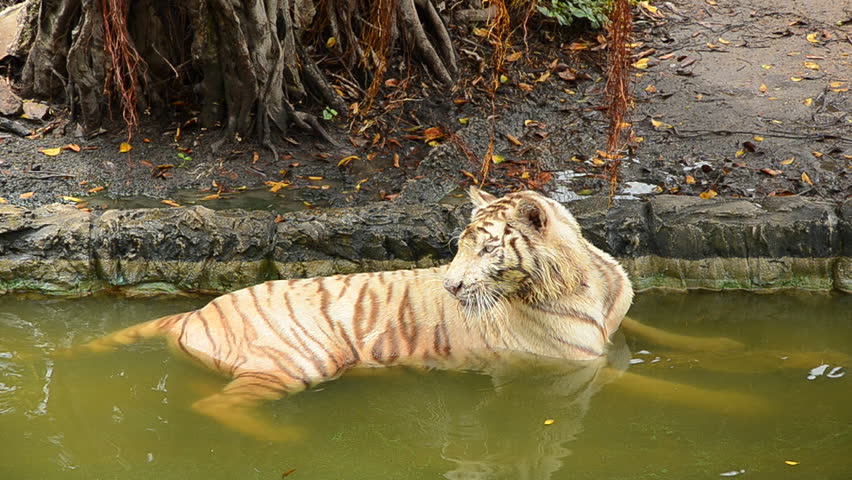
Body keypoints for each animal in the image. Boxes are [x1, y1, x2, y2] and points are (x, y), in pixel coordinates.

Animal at [69, 187, 742, 441]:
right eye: (460, 245)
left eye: (486, 247)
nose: (450, 284)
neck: (579, 285)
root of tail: (191, 314)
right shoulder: (576, 367)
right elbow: (676, 389)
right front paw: (749, 404)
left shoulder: (616, 328)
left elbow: (662, 331)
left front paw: (737, 354)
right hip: (302, 357)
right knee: (214, 405)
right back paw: (288, 436)